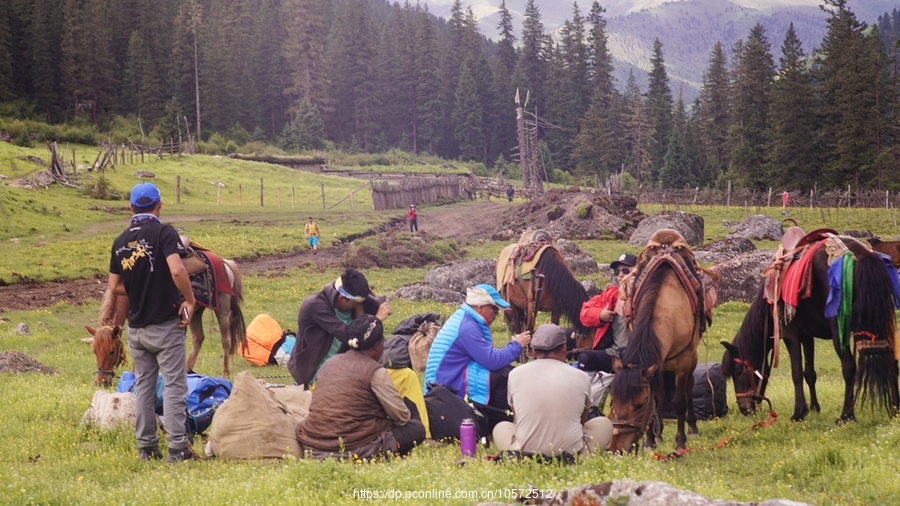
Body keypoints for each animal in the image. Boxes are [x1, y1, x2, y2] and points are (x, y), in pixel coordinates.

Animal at [86, 258, 246, 382]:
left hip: (222, 310)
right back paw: (187, 371)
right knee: (198, 338)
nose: (101, 381)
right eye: (94, 351)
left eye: (111, 351)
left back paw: (225, 374)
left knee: (226, 340)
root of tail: (225, 263)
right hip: (195, 312)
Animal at [604, 258, 704, 452]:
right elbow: (656, 398)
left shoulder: (683, 363)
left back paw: (693, 427)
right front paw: (650, 440)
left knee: (689, 386)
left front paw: (680, 441)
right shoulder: (656, 364)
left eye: (639, 405)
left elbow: (678, 401)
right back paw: (659, 434)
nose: (616, 448)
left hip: (691, 357)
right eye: (613, 401)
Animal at [724, 237, 900, 422]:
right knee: (892, 362)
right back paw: (895, 410)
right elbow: (810, 373)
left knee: (849, 367)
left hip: (840, 331)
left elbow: (796, 373)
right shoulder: (807, 336)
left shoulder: (791, 335)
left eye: (738, 372)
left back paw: (846, 415)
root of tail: (861, 255)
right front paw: (815, 408)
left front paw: (799, 412)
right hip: (885, 324)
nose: (744, 409)